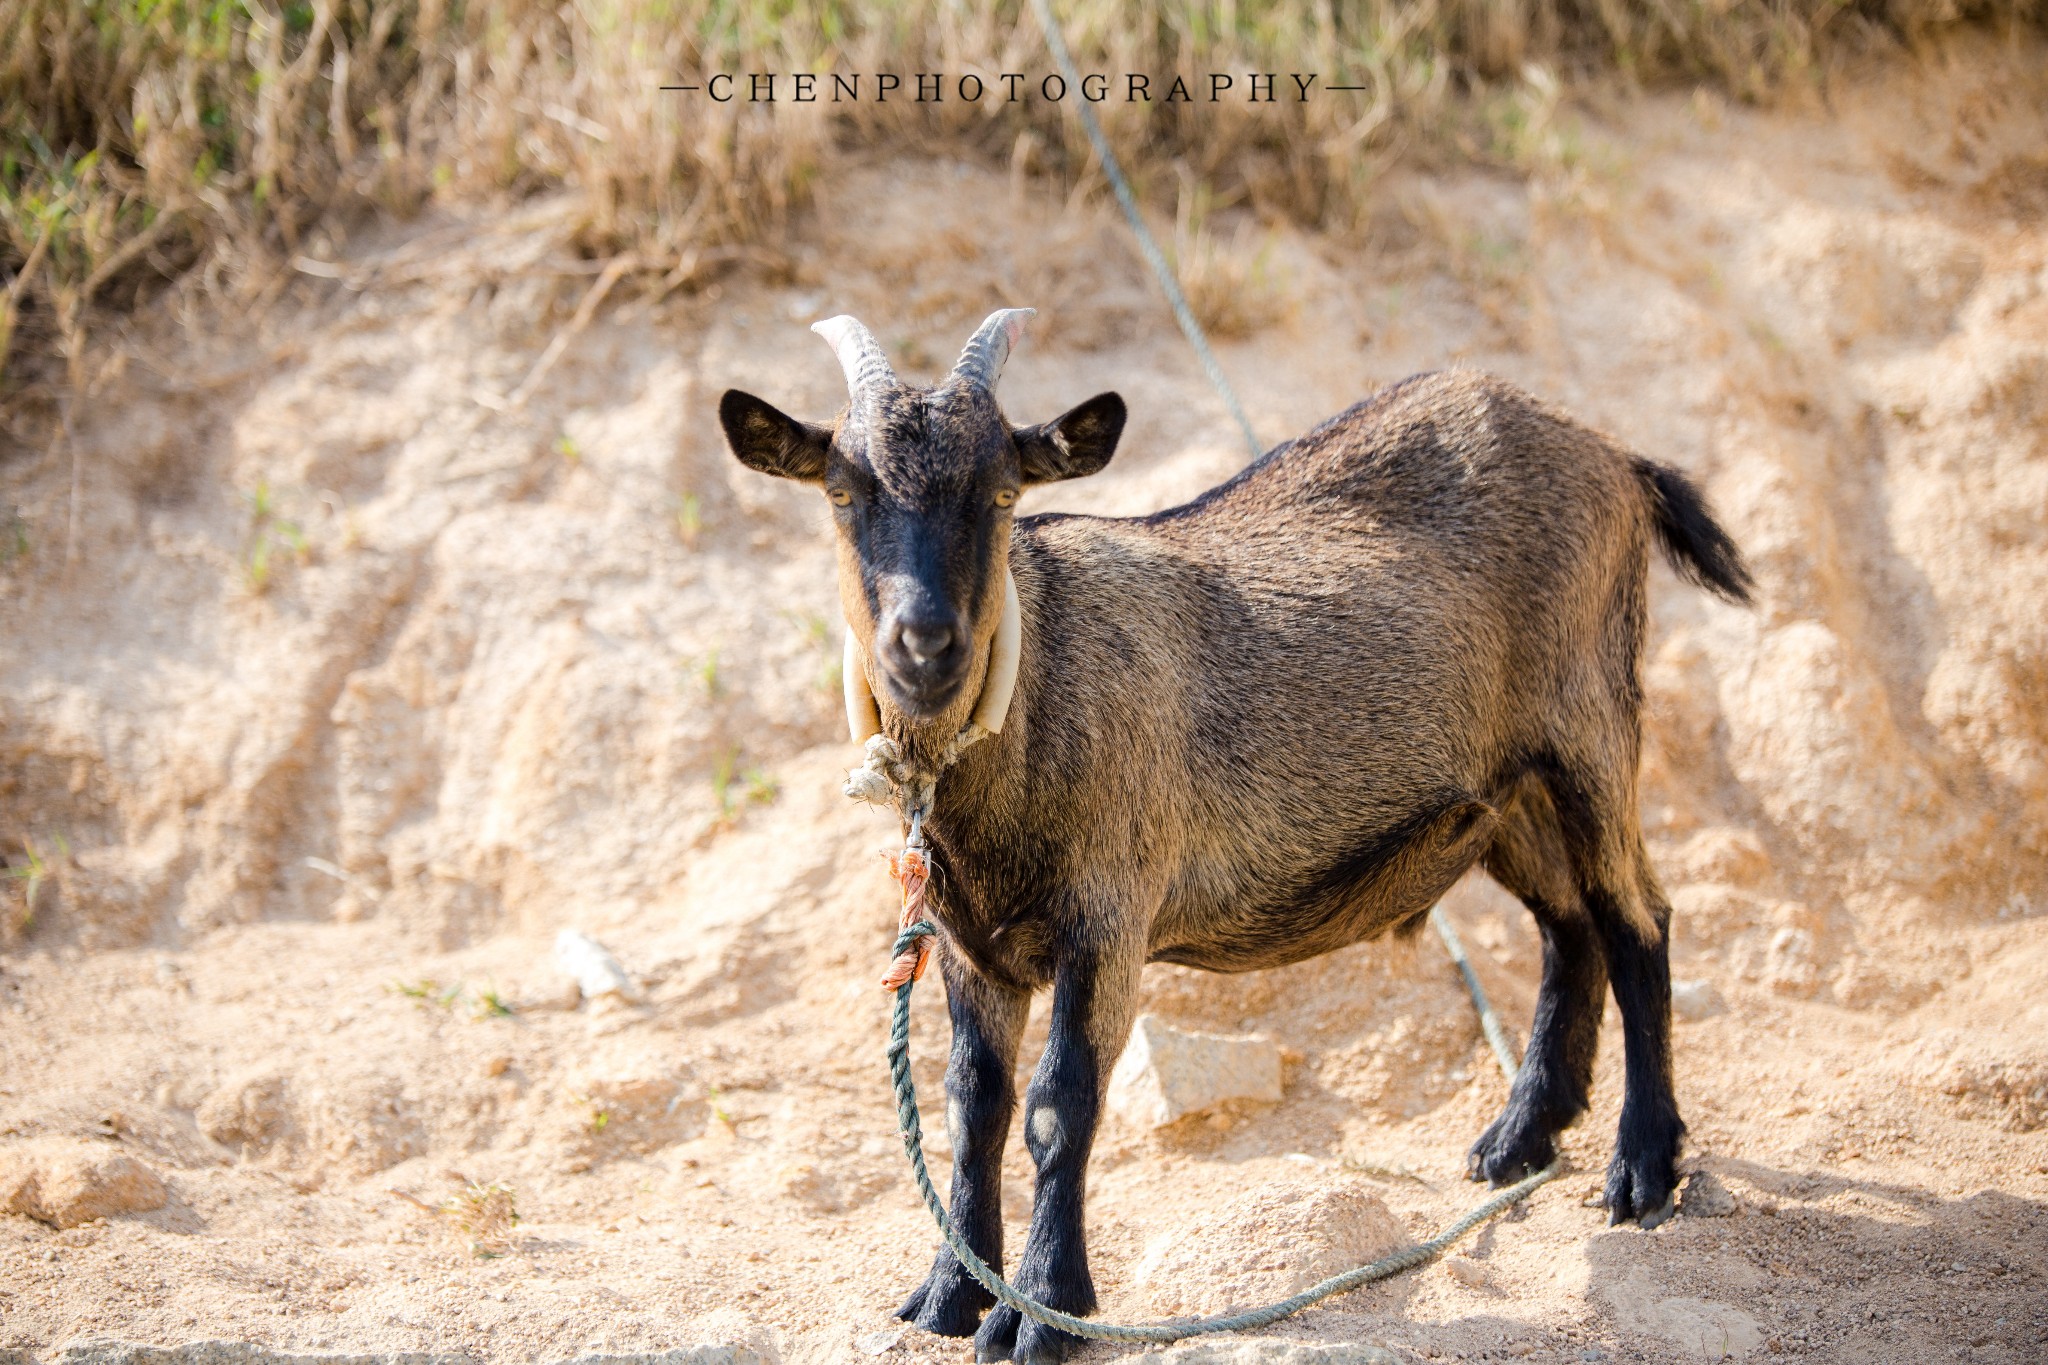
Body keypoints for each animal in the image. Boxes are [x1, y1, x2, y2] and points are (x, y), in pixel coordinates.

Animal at [719, 309, 1753, 1365]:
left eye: (1003, 491)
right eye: (841, 490)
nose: (924, 645)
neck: (1040, 695)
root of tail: (1614, 455)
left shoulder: (1110, 914)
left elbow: (1058, 1107)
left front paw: (1043, 1310)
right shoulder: (973, 945)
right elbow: (974, 1106)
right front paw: (948, 1294)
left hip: (1591, 728)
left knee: (1638, 921)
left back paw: (1642, 1169)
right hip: (1503, 796)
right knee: (1569, 926)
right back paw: (1518, 1139)